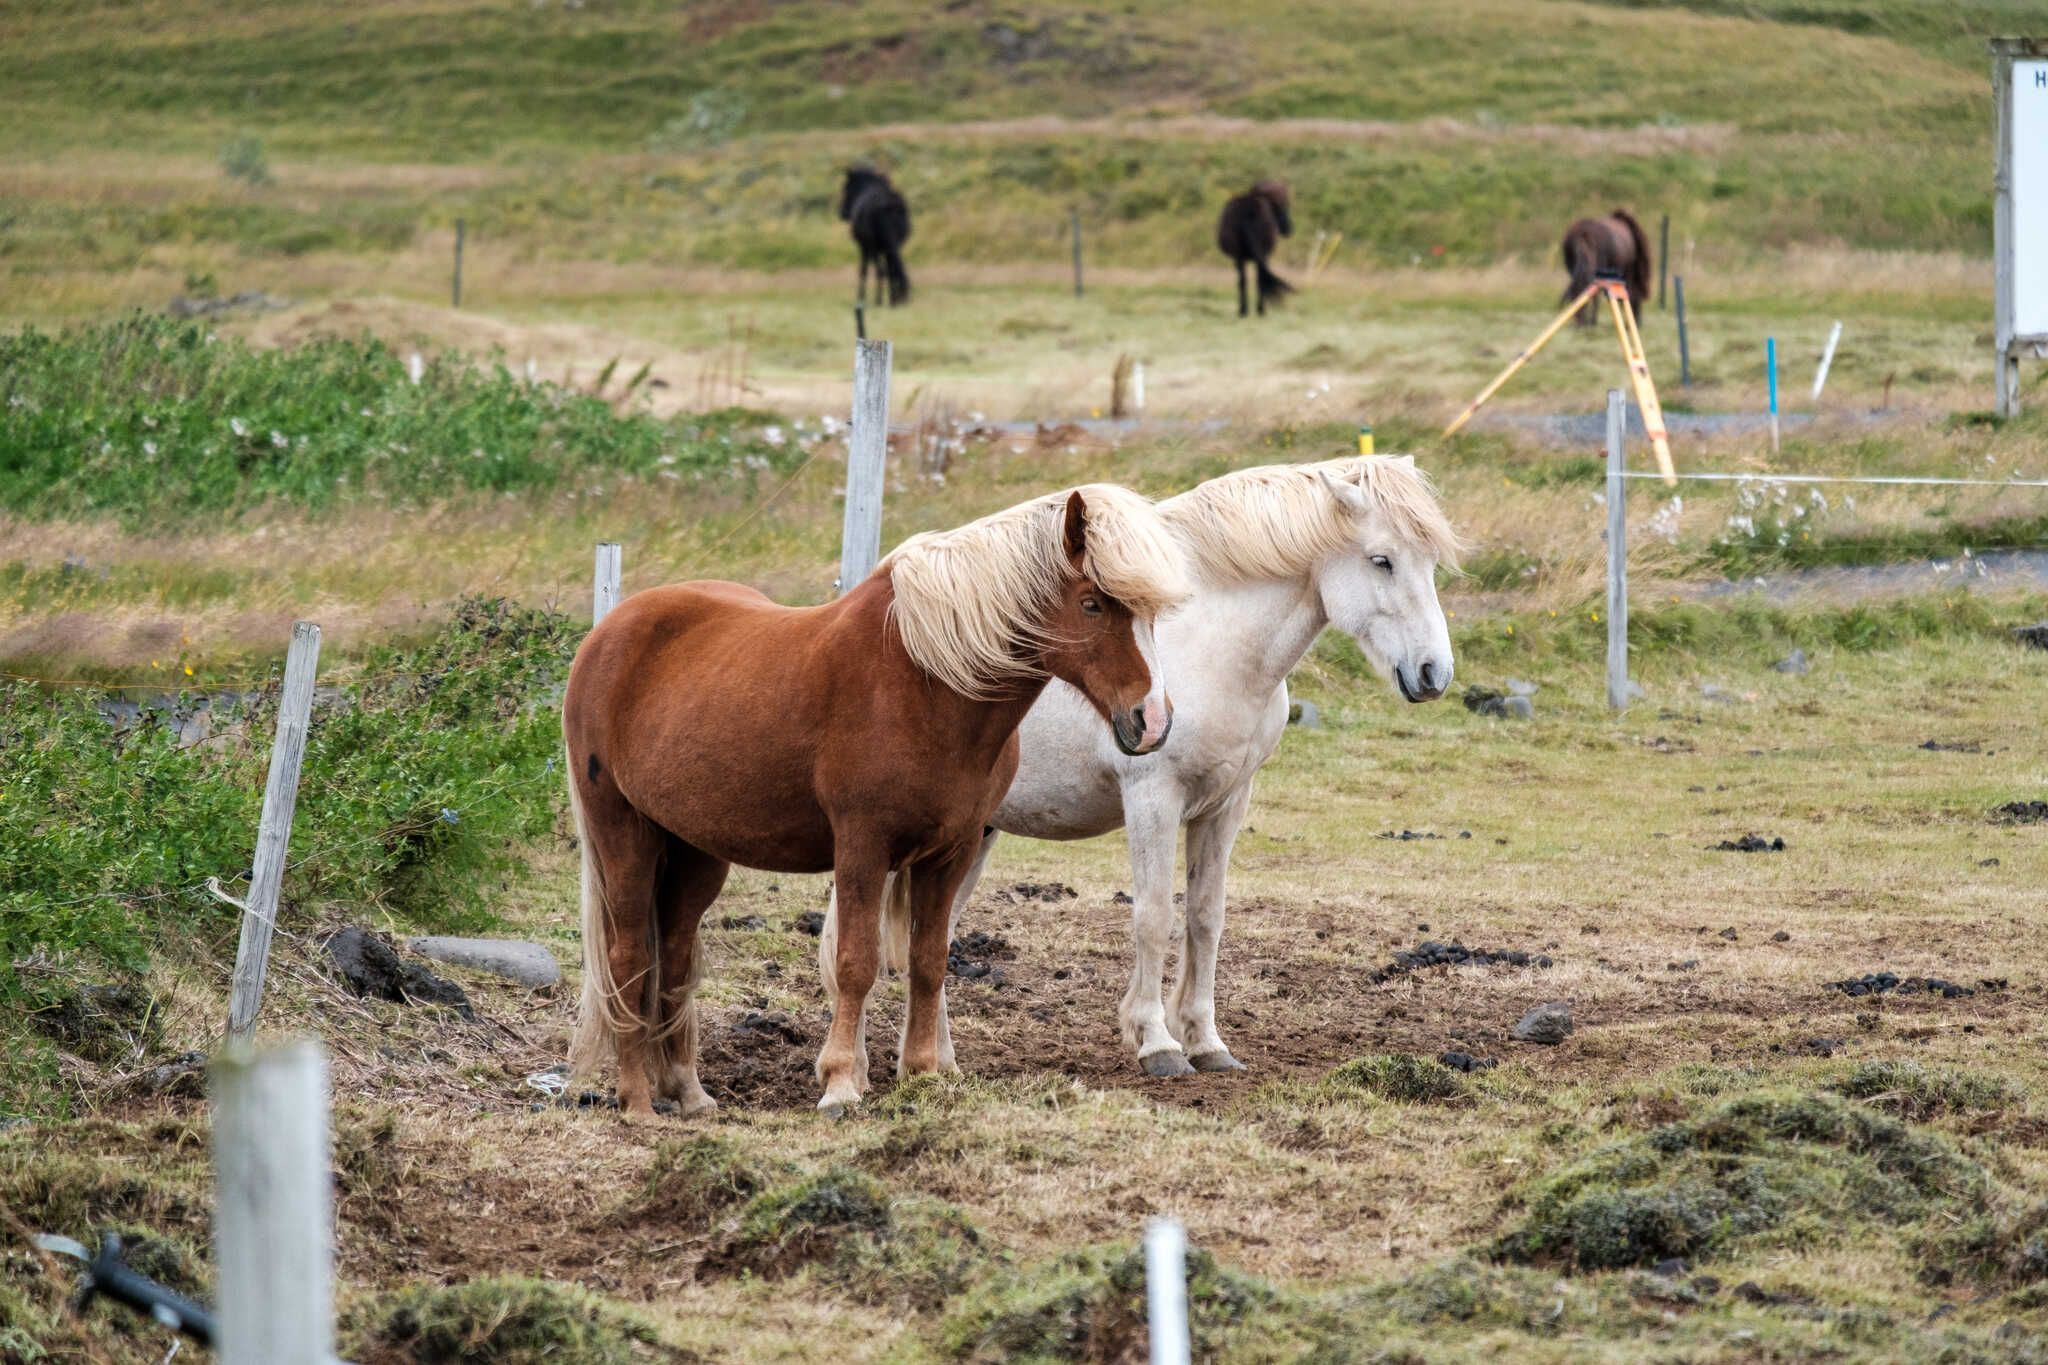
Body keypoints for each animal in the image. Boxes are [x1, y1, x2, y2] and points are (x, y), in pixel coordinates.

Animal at [569, 485, 1196, 1113]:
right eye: (1092, 603)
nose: (1153, 721)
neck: (927, 684)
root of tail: (607, 633)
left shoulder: (951, 852)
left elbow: (929, 959)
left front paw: (921, 1073)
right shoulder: (862, 848)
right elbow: (857, 963)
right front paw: (842, 1084)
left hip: (695, 851)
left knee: (674, 957)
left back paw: (689, 1092)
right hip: (620, 833)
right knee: (627, 958)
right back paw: (636, 1100)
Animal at [815, 456, 1458, 1080]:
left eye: (1428, 563)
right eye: (1382, 560)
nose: (1434, 673)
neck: (1214, 644)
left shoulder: (1227, 803)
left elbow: (1205, 917)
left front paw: (1206, 1042)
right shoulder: (1154, 798)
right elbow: (1152, 916)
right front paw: (1158, 1044)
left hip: (970, 838)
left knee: (933, 936)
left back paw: (938, 1063)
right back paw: (861, 1071)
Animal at [843, 163, 917, 309]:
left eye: (846, 188)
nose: (842, 212)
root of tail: (889, 204)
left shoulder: (866, 247)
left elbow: (865, 271)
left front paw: (865, 299)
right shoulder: (883, 248)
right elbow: (887, 270)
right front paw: (891, 298)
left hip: (875, 246)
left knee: (882, 270)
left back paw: (883, 300)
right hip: (893, 244)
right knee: (892, 268)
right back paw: (895, 299)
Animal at [1212, 180, 1294, 319]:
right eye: (1281, 206)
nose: (1288, 230)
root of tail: (1249, 210)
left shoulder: (1242, 258)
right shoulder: (1264, 256)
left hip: (1240, 257)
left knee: (1244, 281)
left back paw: (1244, 310)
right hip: (1253, 256)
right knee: (1256, 279)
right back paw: (1256, 310)